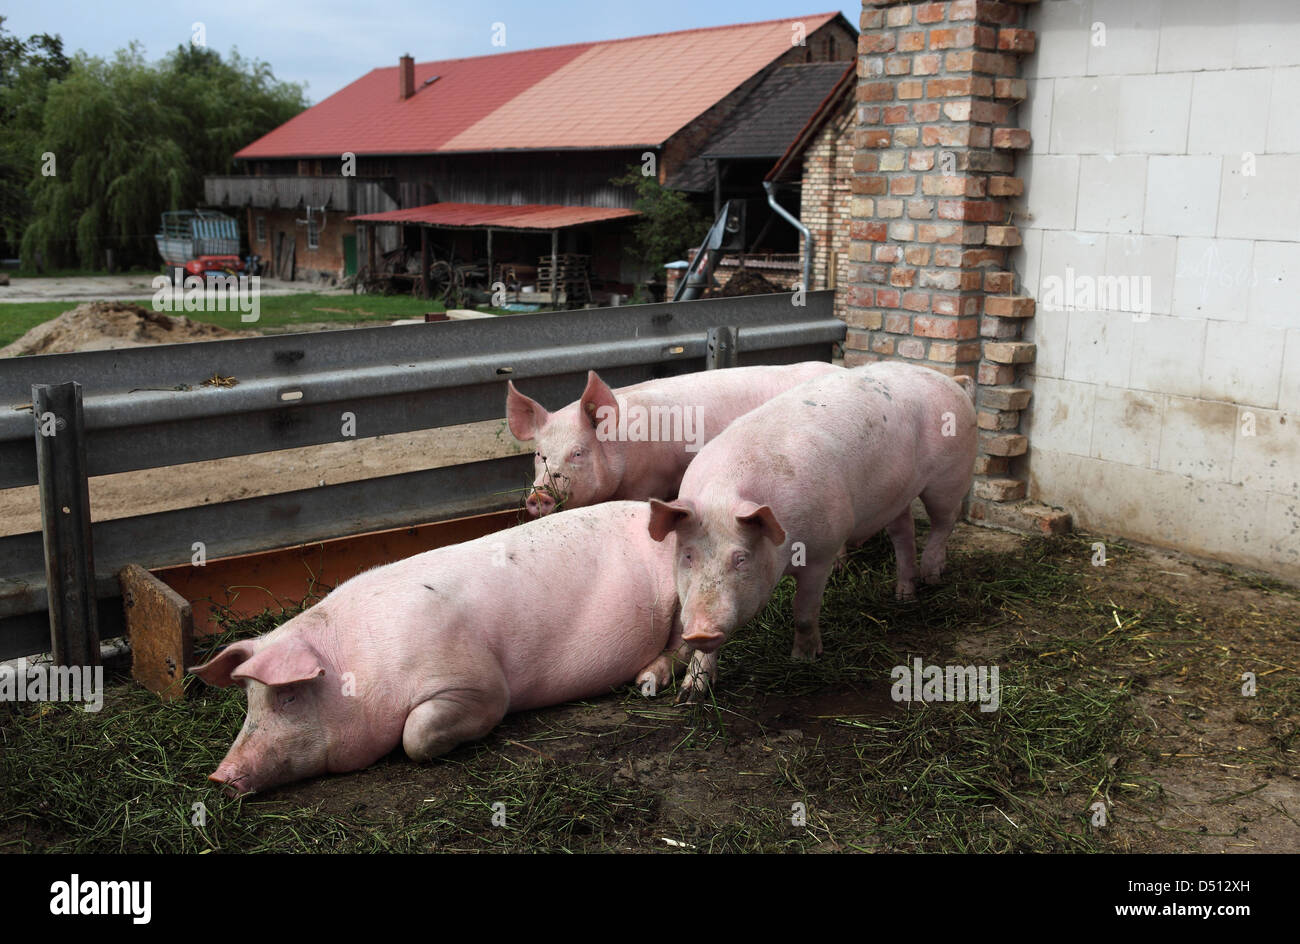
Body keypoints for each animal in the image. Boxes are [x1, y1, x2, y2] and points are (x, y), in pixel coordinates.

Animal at [189, 501, 691, 800]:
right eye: (250, 701)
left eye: (289, 696)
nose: (218, 775)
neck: (360, 667)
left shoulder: (477, 682)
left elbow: (416, 734)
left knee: (682, 647)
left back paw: (648, 684)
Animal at [650, 361, 977, 702]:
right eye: (688, 556)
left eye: (740, 558)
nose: (701, 628)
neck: (722, 496)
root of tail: (949, 380)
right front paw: (689, 694)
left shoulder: (822, 551)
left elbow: (804, 612)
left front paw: (803, 659)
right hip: (897, 496)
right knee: (904, 533)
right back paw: (904, 595)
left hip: (951, 475)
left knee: (944, 523)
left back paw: (932, 575)